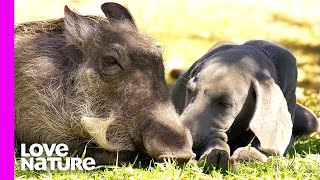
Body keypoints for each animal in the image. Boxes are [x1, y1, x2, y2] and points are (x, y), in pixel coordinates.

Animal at [172, 40, 320, 169]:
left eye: (226, 103)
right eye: (189, 90)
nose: (179, 139)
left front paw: (250, 153)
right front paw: (216, 153)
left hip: (310, 119)